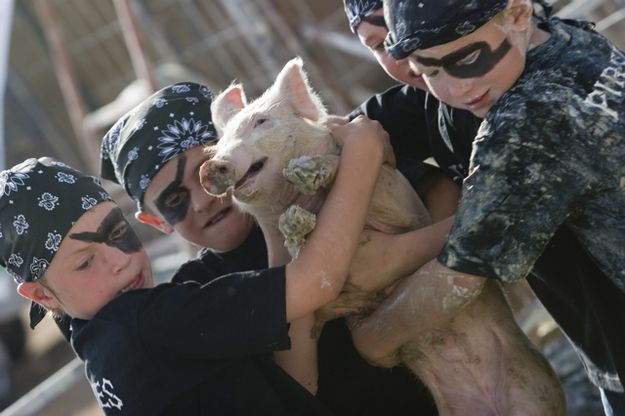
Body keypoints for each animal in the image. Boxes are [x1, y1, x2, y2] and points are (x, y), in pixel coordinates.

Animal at [199, 58, 564, 416]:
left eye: (261, 121)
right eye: (219, 144)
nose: (211, 166)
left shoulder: (400, 199)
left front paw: (305, 172)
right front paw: (295, 225)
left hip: (537, 391)